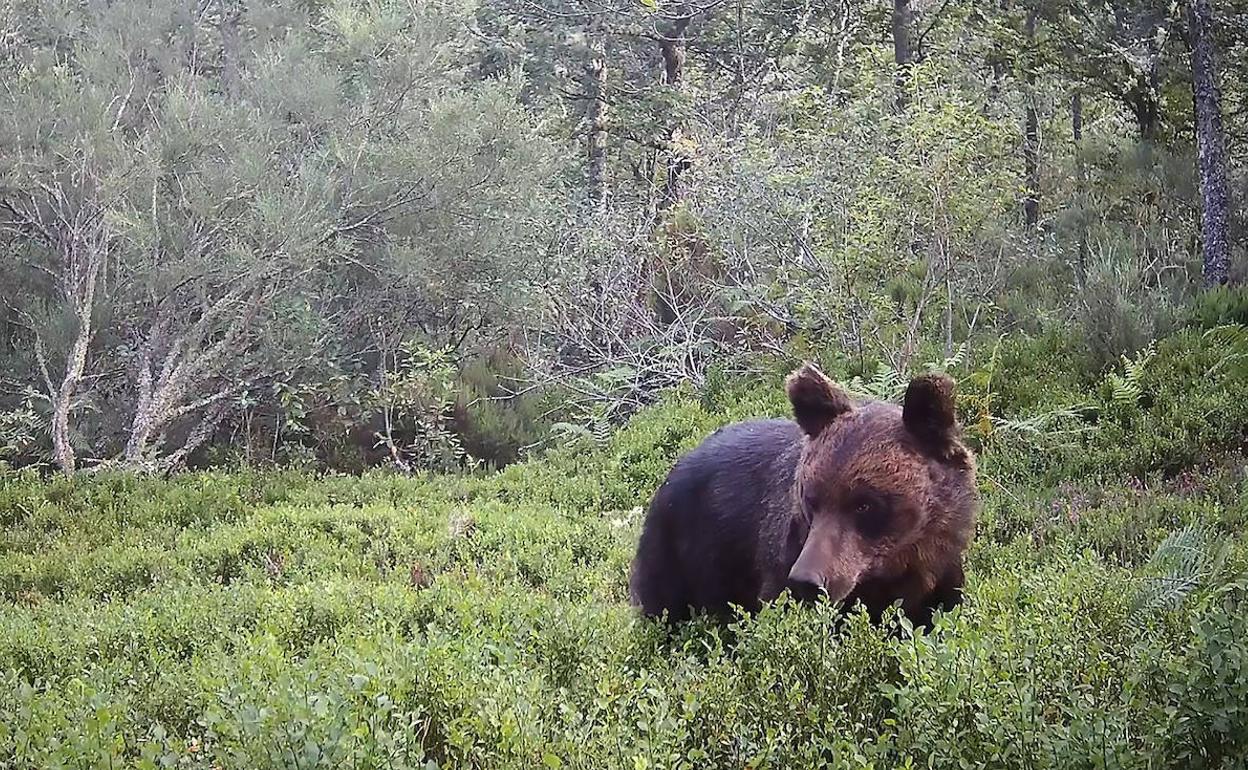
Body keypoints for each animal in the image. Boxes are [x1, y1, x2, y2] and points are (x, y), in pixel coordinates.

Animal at [628, 363, 977, 628]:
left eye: (864, 504)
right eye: (812, 500)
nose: (806, 581)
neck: (901, 564)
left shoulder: (940, 576)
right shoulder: (780, 561)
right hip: (680, 550)